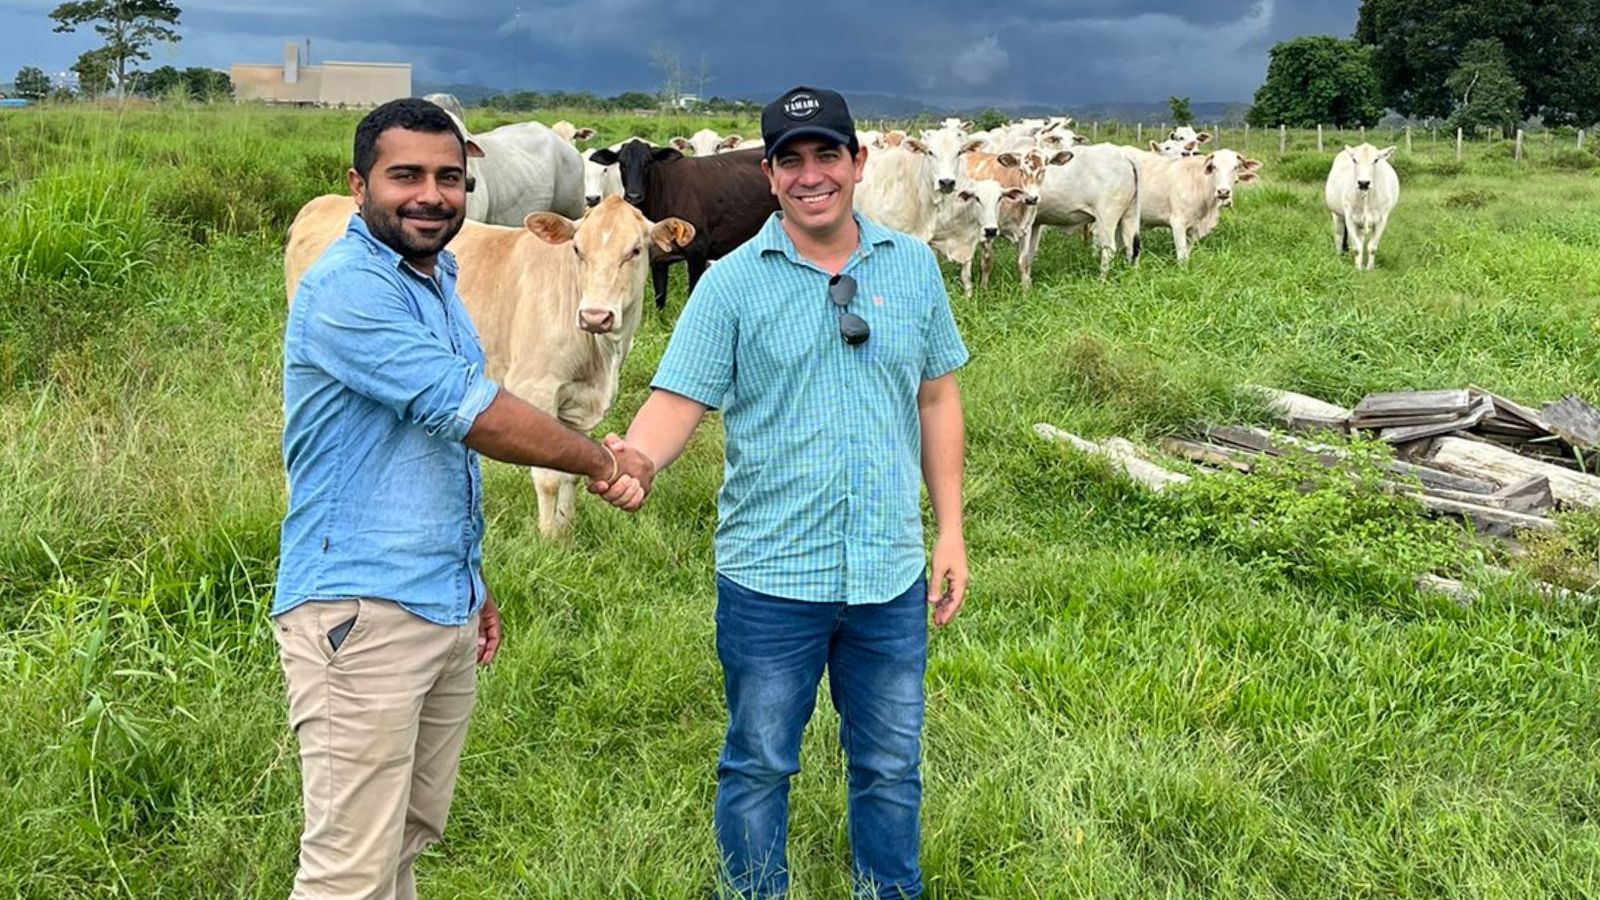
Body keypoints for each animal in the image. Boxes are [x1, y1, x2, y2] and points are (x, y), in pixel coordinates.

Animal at [595, 140, 780, 307]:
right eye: (621, 163)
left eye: (648, 162)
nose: (634, 196)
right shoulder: (657, 260)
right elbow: (659, 300)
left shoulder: (697, 252)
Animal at [1324, 141, 1401, 269]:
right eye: (1355, 160)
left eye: (1376, 160)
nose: (1363, 183)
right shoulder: (1349, 218)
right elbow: (1356, 248)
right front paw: (1358, 269)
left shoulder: (1382, 219)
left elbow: (1372, 247)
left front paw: (1369, 269)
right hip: (1337, 215)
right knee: (1339, 237)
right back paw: (1339, 257)